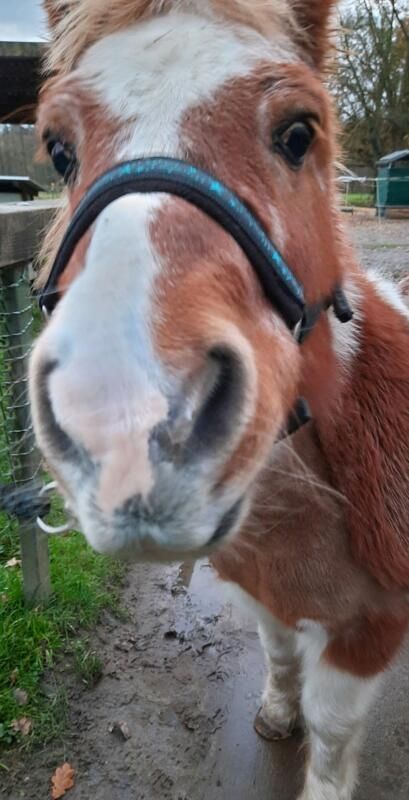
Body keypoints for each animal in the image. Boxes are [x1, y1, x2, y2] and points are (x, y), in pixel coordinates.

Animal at [29, 2, 409, 799]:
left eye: (298, 132)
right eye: (58, 149)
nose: (127, 424)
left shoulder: (369, 631)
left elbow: (331, 731)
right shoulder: (268, 594)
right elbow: (280, 655)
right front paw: (275, 712)